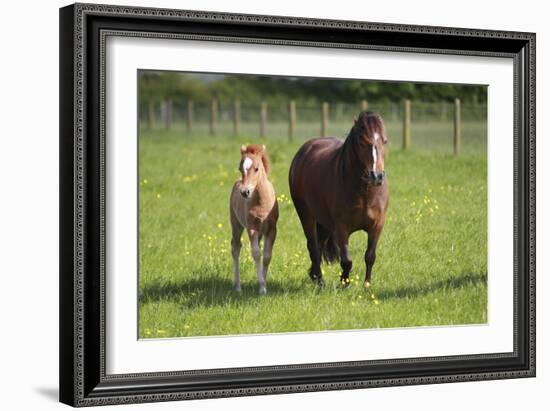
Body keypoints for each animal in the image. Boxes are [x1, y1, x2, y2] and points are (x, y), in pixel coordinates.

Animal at [231, 143, 280, 294]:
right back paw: (238, 287)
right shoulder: (251, 227)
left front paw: (262, 284)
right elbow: (257, 253)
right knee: (235, 247)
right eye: (240, 168)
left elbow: (267, 255)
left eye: (257, 168)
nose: (244, 192)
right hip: (236, 224)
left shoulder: (272, 229)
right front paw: (262, 287)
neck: (261, 203)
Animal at [292, 111, 390, 288]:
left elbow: (370, 256)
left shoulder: (377, 226)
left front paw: (366, 285)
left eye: (384, 141)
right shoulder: (342, 229)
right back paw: (319, 280)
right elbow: (347, 261)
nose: (377, 176)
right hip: (306, 216)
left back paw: (315, 276)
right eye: (362, 142)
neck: (364, 192)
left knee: (319, 244)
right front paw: (344, 284)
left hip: (324, 222)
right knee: (313, 247)